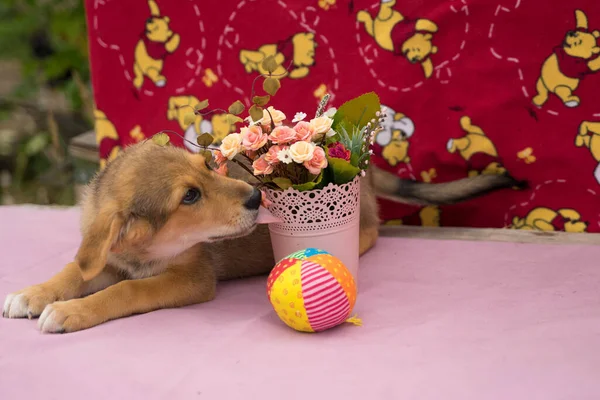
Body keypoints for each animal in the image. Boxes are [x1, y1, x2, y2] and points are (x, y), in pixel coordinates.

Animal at [2, 141, 524, 334]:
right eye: (189, 195)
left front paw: (69, 312)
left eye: (204, 166)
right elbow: (74, 269)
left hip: (357, 222)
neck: (144, 252)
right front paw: (34, 294)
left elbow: (128, 291)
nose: (257, 197)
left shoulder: (191, 278)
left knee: (374, 230)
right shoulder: (104, 258)